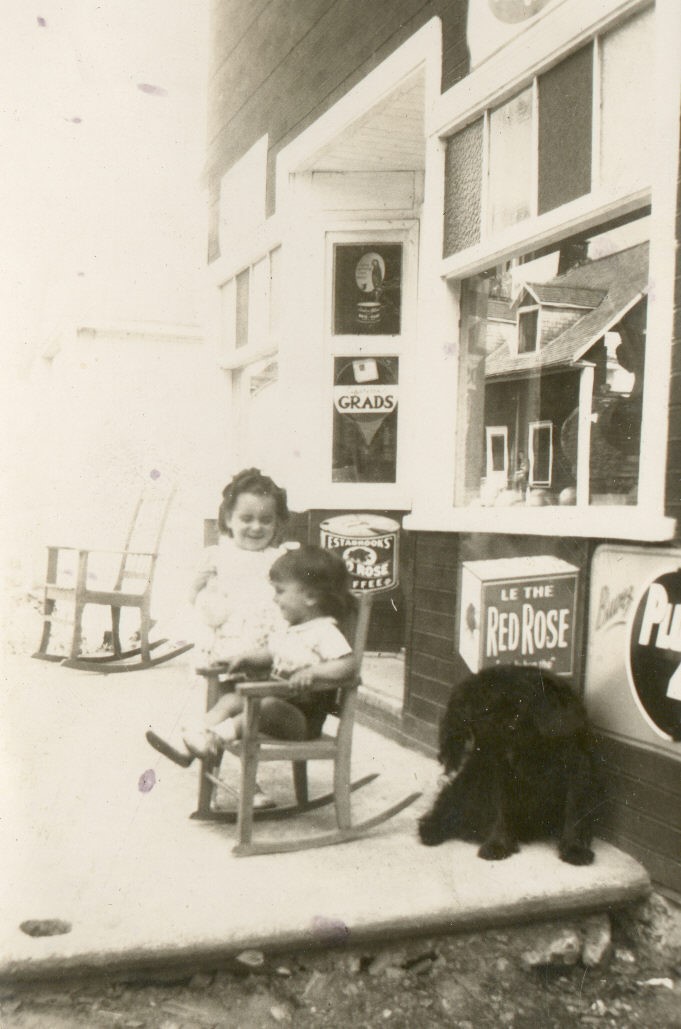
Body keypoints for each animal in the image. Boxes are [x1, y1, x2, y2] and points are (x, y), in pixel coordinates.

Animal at [419, 662, 600, 864]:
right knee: (447, 804)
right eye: (482, 712)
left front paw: (575, 848)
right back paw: (432, 830)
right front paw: (498, 844)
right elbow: (501, 808)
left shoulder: (577, 769)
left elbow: (574, 809)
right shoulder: (500, 771)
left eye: (518, 712)